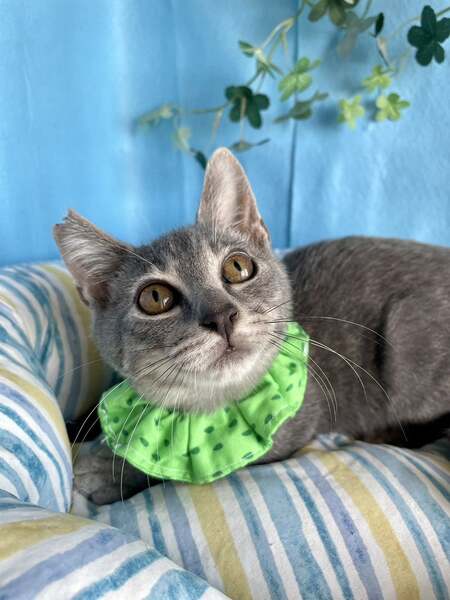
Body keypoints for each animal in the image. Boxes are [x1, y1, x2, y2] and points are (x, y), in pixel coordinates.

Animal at [54, 147, 450, 504]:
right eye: (154, 298)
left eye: (238, 267)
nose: (221, 316)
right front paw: (78, 428)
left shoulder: (293, 430)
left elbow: (180, 473)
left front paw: (109, 470)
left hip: (405, 340)